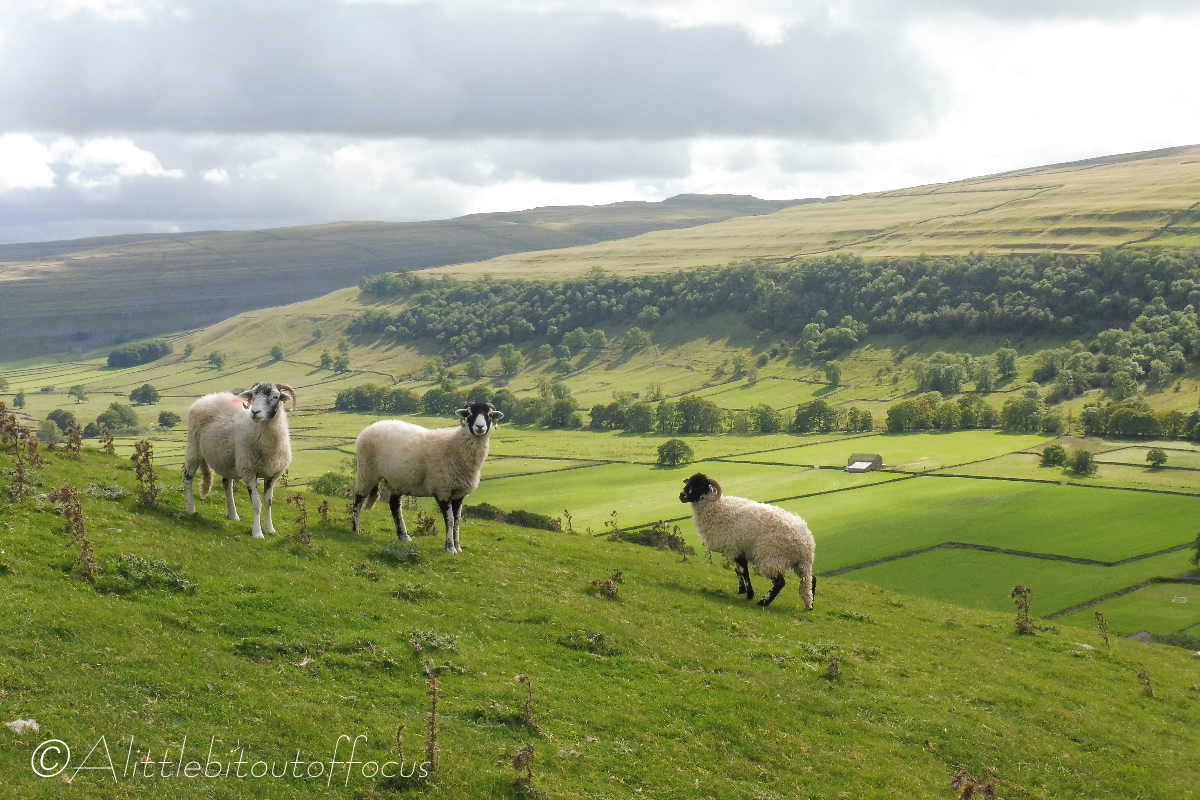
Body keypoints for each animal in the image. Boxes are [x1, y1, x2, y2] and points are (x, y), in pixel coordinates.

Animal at [182, 382, 296, 539]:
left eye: (275, 396)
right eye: (253, 395)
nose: (254, 412)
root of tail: (206, 397)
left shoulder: (272, 475)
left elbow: (268, 502)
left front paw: (270, 529)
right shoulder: (249, 472)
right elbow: (257, 504)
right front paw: (257, 533)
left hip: (226, 459)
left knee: (226, 484)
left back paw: (233, 514)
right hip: (194, 449)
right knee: (187, 478)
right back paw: (190, 509)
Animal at [351, 401, 502, 553]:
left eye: (489, 414)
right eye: (469, 413)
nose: (480, 427)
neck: (456, 444)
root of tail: (371, 427)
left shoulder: (459, 493)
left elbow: (457, 520)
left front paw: (458, 546)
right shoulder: (442, 490)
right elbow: (450, 520)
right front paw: (450, 547)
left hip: (398, 479)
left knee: (394, 505)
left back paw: (403, 536)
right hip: (367, 471)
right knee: (358, 499)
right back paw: (355, 529)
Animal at [679, 472, 815, 609]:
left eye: (699, 485)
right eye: (689, 482)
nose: (681, 495)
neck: (716, 508)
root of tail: (806, 540)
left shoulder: (735, 549)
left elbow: (744, 572)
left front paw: (749, 594)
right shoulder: (733, 550)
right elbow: (738, 571)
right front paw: (741, 590)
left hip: (772, 557)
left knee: (780, 582)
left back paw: (763, 601)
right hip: (801, 564)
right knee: (809, 580)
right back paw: (810, 604)